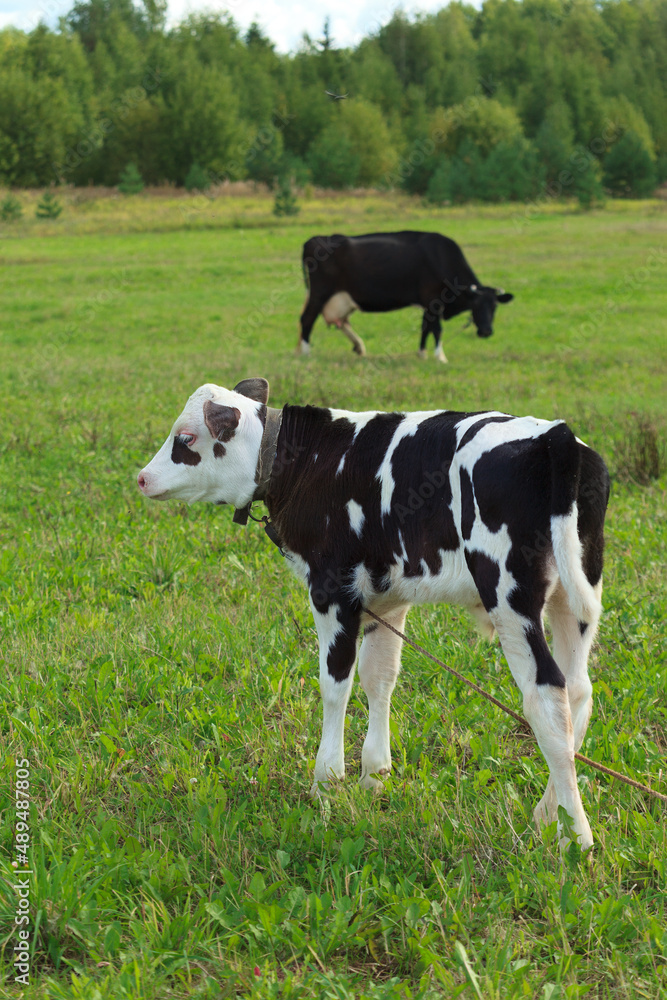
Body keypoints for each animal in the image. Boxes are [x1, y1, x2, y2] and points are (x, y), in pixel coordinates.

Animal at [137, 378, 612, 848]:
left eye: (186, 438)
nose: (142, 478)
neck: (311, 461)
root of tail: (554, 435)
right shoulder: (388, 599)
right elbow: (379, 677)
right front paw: (374, 775)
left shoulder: (331, 592)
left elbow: (336, 684)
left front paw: (326, 781)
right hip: (574, 598)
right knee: (577, 692)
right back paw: (548, 813)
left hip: (510, 598)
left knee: (546, 695)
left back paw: (576, 836)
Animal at [300, 229, 516, 360]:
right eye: (476, 306)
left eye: (495, 307)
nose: (486, 331)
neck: (442, 258)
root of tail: (315, 239)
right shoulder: (432, 298)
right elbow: (436, 328)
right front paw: (440, 356)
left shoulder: (428, 304)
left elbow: (425, 327)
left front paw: (422, 353)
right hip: (320, 292)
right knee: (307, 319)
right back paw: (305, 352)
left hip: (341, 297)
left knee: (342, 322)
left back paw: (359, 346)